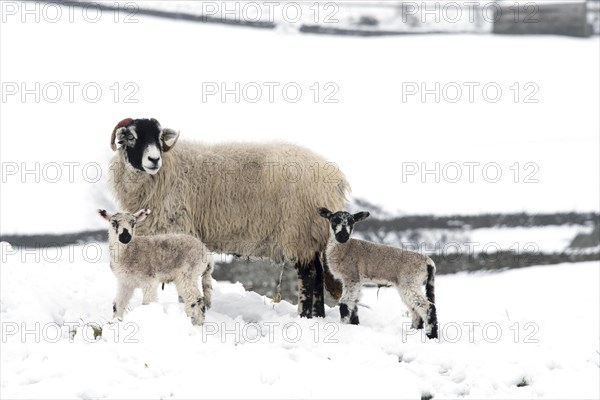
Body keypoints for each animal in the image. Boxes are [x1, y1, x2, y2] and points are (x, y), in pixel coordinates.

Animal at [109, 117, 352, 318]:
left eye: (159, 137)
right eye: (131, 137)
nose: (153, 159)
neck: (167, 170)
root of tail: (335, 180)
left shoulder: (178, 228)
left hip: (300, 231)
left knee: (309, 276)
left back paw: (305, 316)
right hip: (312, 234)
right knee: (318, 275)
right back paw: (317, 317)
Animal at [316, 208, 438, 340]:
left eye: (352, 222)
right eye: (334, 220)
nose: (343, 236)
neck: (344, 248)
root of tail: (428, 262)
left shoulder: (351, 276)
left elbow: (345, 302)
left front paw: (343, 326)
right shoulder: (357, 281)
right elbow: (354, 303)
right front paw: (355, 324)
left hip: (410, 280)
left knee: (427, 306)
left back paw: (432, 335)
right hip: (408, 284)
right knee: (415, 309)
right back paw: (414, 331)